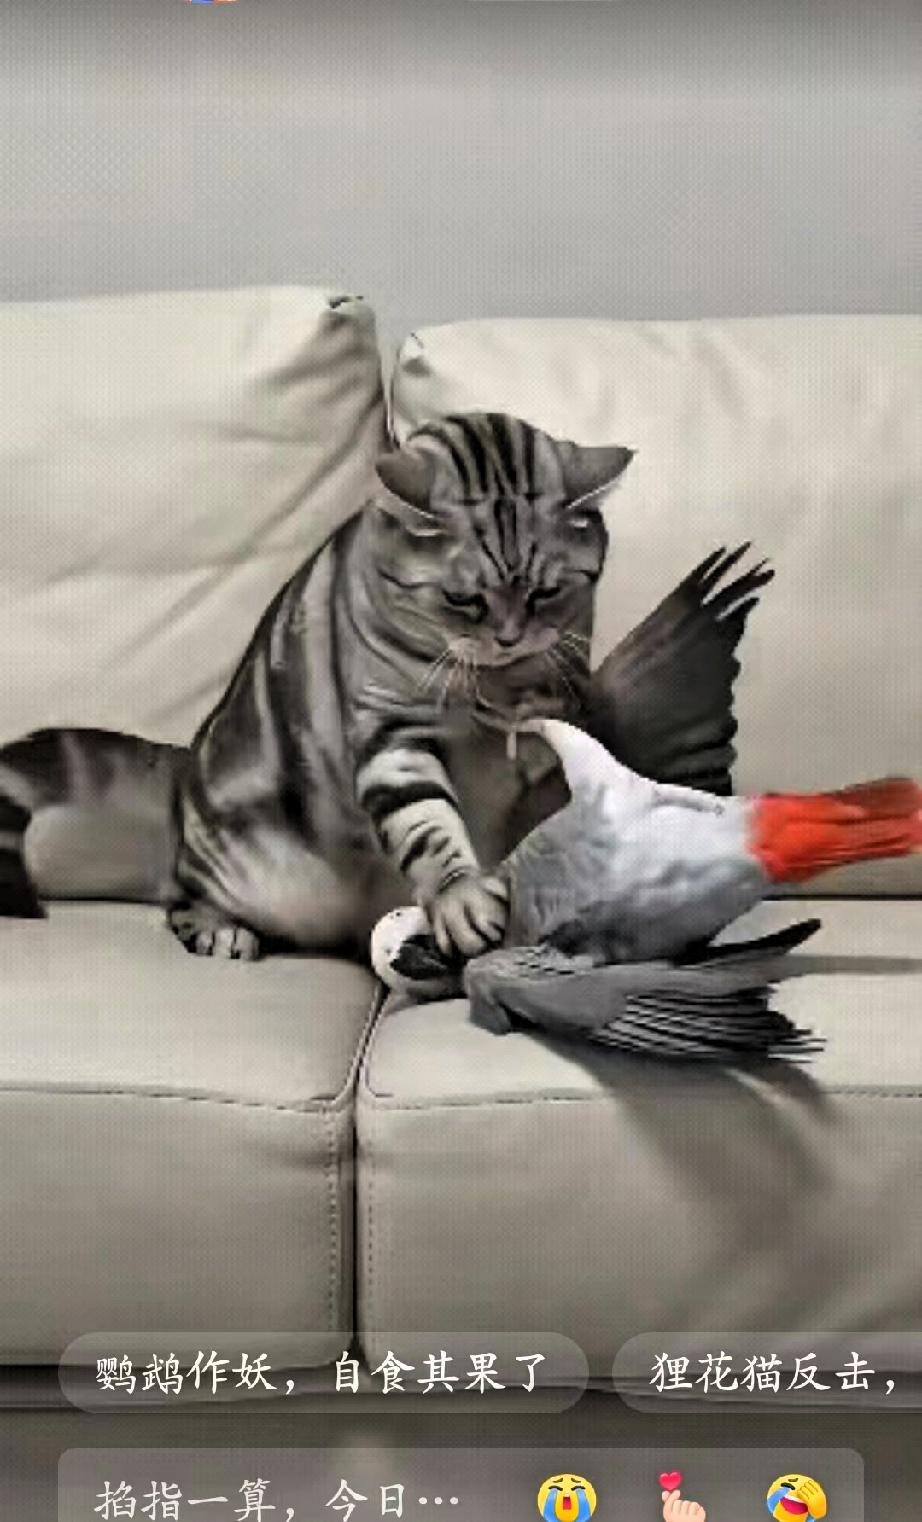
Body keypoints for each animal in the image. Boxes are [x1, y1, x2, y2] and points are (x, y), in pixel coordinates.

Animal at [0, 413, 634, 960]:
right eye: (463, 599)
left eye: (546, 593)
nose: (508, 638)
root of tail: (182, 776)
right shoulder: (390, 734)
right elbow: (426, 823)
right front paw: (461, 894)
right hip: (243, 874)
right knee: (178, 897)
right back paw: (219, 930)